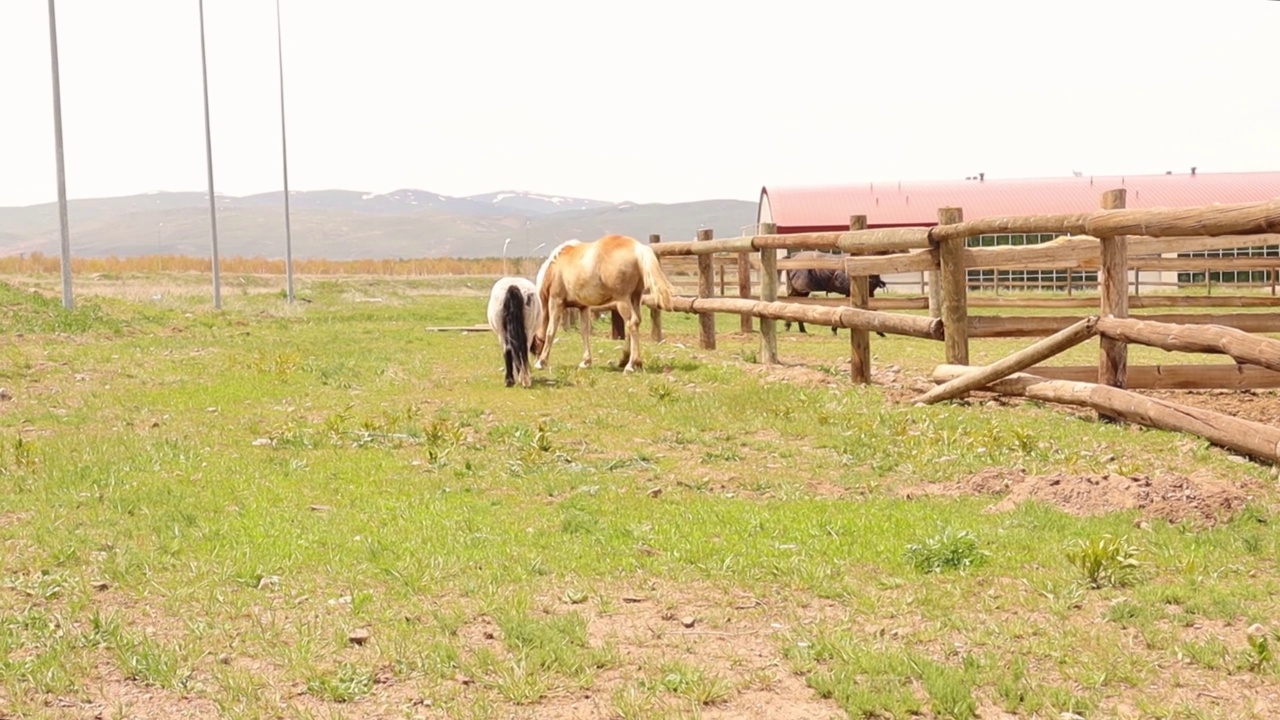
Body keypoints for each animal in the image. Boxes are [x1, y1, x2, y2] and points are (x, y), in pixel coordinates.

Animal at [529, 235, 675, 371]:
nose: (534, 358)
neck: (554, 269)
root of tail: (638, 248)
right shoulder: (583, 307)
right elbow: (585, 331)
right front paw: (586, 361)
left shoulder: (556, 302)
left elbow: (550, 331)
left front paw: (541, 362)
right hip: (635, 298)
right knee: (634, 323)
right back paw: (627, 360)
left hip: (622, 300)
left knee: (632, 322)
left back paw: (631, 364)